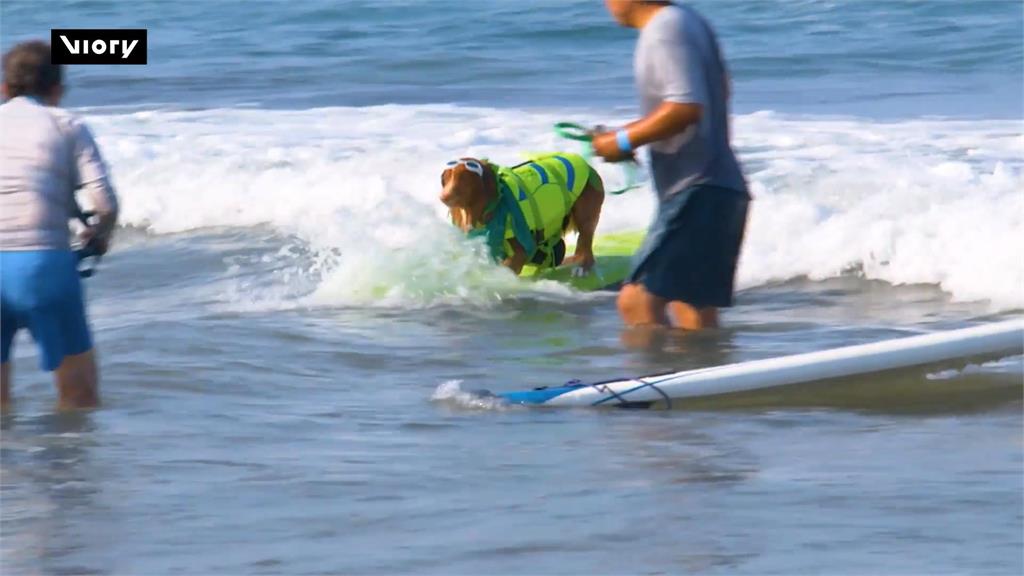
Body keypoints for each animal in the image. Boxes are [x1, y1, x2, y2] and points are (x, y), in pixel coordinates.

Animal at [438, 154, 598, 276]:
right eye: (447, 178)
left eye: (463, 179)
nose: (443, 197)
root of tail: (588, 166)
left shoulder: (522, 252)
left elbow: (507, 266)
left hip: (584, 215)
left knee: (585, 242)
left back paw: (582, 266)